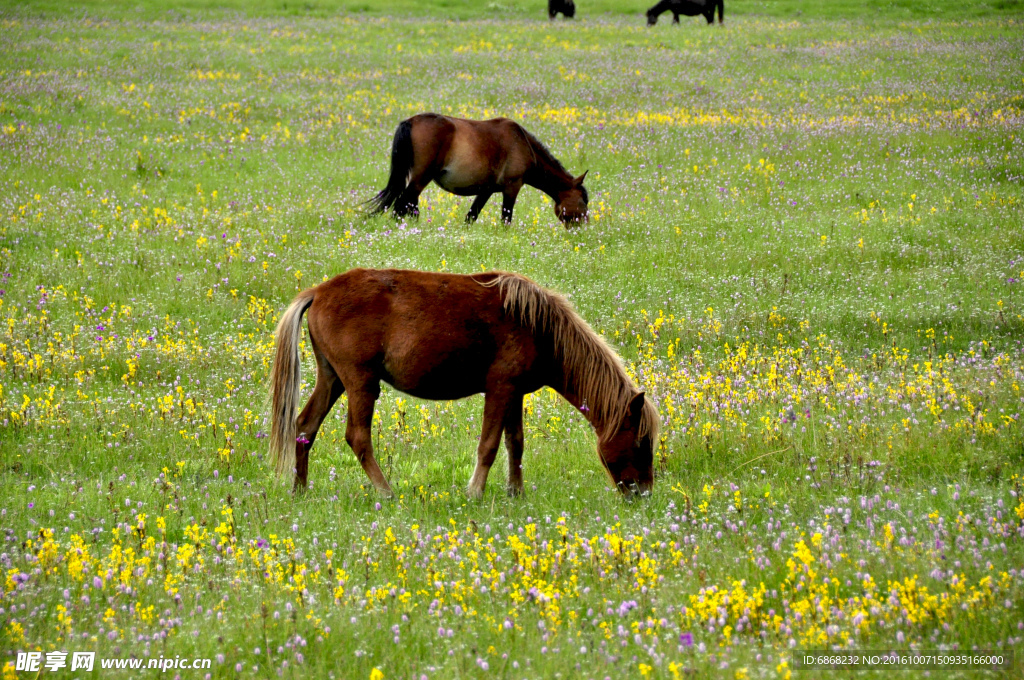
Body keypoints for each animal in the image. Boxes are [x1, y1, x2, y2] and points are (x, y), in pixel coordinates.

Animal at [268, 268, 659, 497]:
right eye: (641, 443)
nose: (643, 494)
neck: (539, 326)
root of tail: (319, 292)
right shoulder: (500, 389)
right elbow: (489, 445)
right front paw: (475, 492)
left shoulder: (514, 393)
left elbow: (515, 444)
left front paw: (515, 493)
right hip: (361, 382)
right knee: (358, 437)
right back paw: (386, 493)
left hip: (332, 378)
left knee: (304, 426)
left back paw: (300, 490)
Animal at [370, 112, 593, 227]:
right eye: (583, 201)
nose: (583, 229)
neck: (522, 143)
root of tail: (411, 121)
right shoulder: (512, 188)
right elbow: (506, 219)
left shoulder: (485, 191)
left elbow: (471, 217)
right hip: (420, 179)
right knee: (401, 205)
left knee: (408, 205)